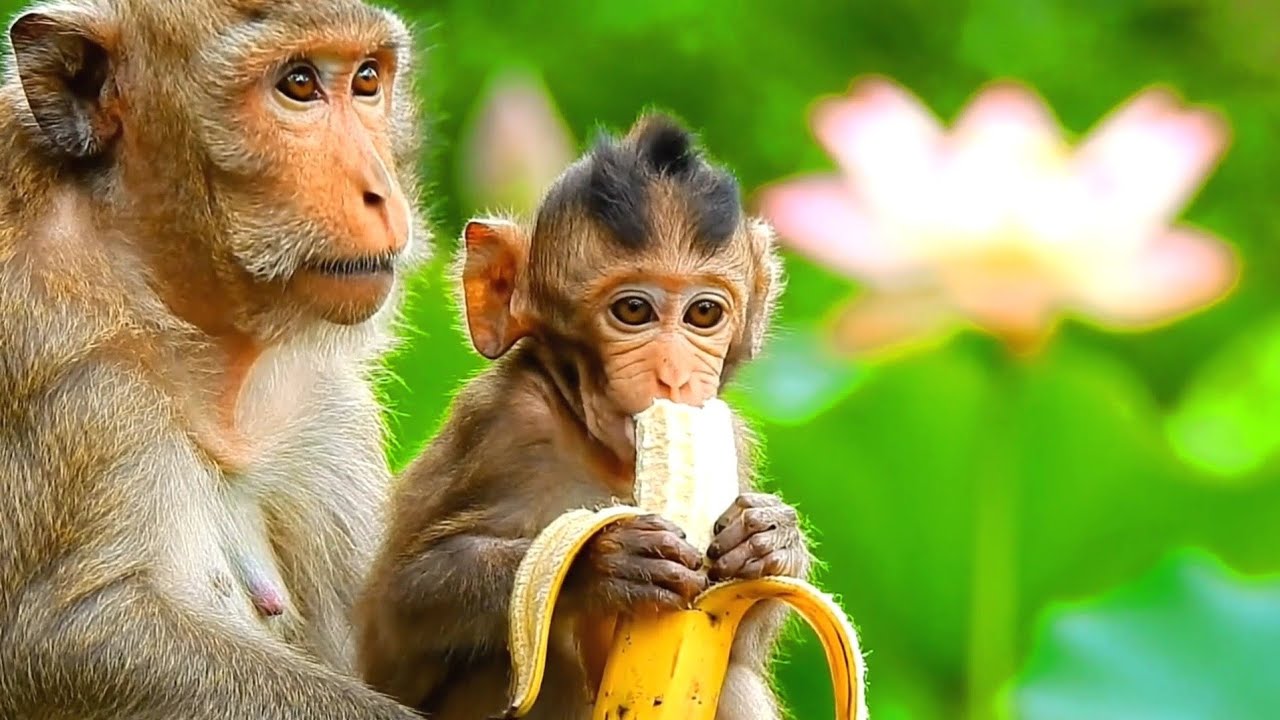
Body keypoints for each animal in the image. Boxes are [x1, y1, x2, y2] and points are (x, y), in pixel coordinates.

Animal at [0, 1, 434, 718]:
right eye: (298, 84)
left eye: (367, 79)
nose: (381, 191)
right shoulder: (68, 368)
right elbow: (66, 636)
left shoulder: (319, 400)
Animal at [355, 113, 809, 720]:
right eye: (633, 310)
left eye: (704, 313)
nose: (674, 376)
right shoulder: (504, 425)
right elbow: (399, 606)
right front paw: (602, 562)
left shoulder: (731, 439)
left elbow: (736, 631)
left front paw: (771, 539)